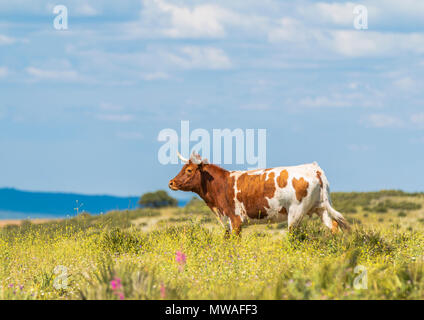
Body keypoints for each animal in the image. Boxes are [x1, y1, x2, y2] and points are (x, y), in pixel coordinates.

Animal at [167, 151, 350, 236]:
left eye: (189, 170)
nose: (171, 183)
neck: (222, 184)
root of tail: (313, 167)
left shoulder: (235, 221)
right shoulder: (227, 222)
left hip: (296, 213)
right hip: (321, 208)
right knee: (334, 227)